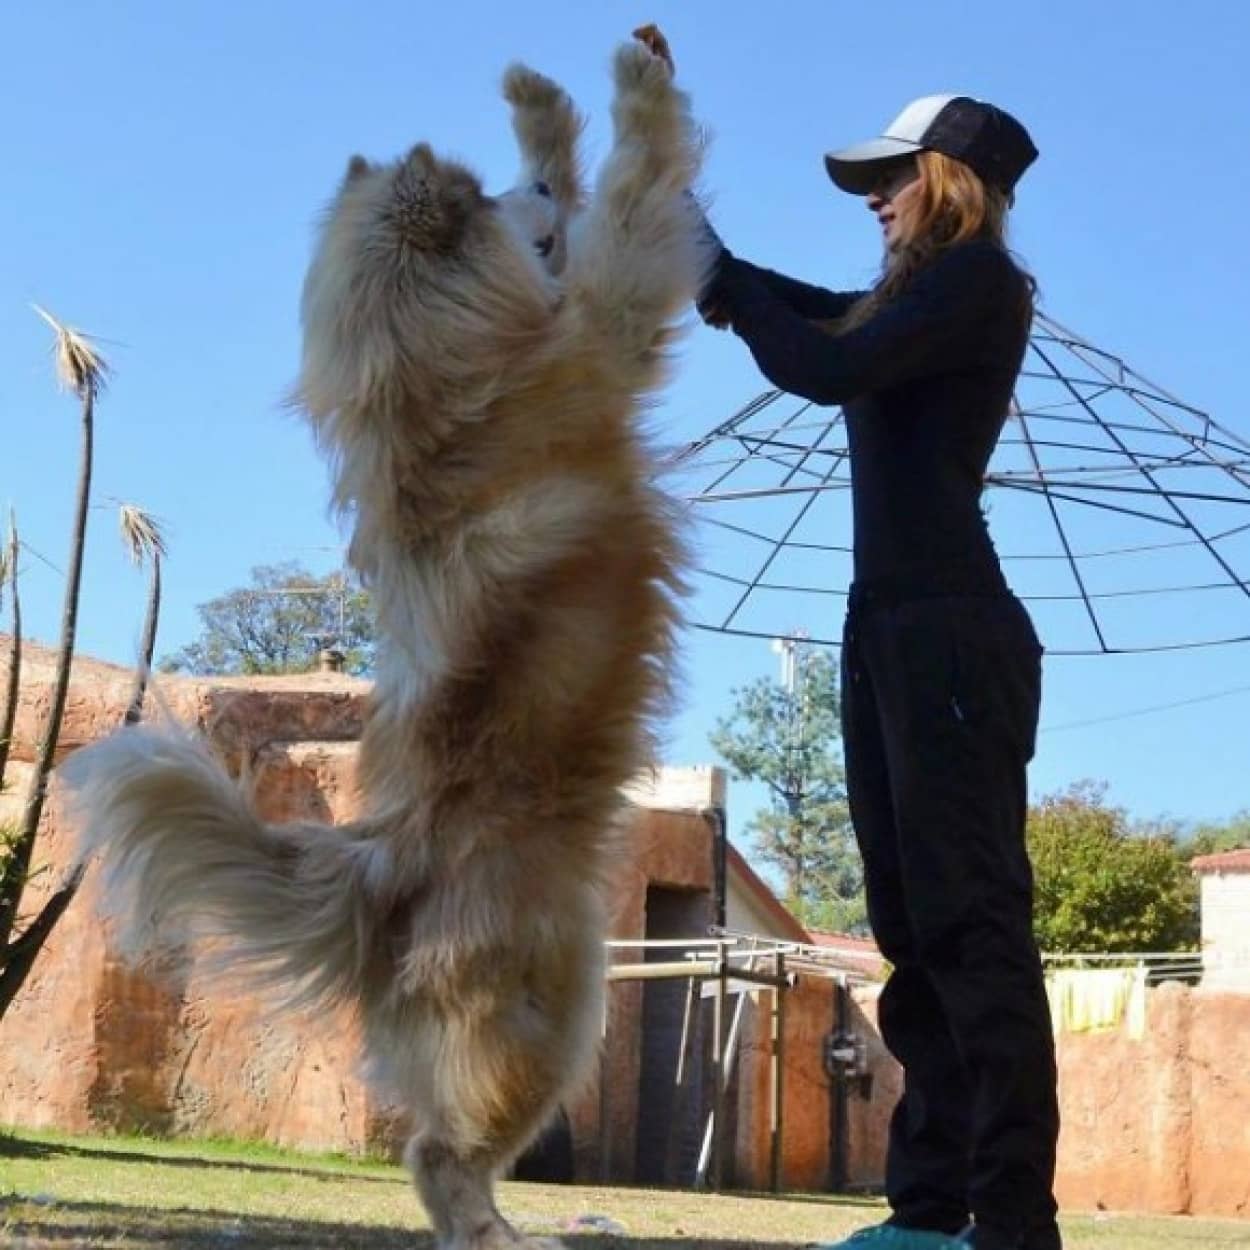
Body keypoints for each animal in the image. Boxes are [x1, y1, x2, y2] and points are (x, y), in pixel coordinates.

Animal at [65, 29, 715, 1250]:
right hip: (554, 1003)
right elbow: (638, 187)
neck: (430, 375)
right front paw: (628, 90)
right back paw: (513, 1233)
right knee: (438, 1154)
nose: (532, 190)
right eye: (510, 203)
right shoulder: (613, 305)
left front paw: (540, 106)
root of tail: (386, 865)